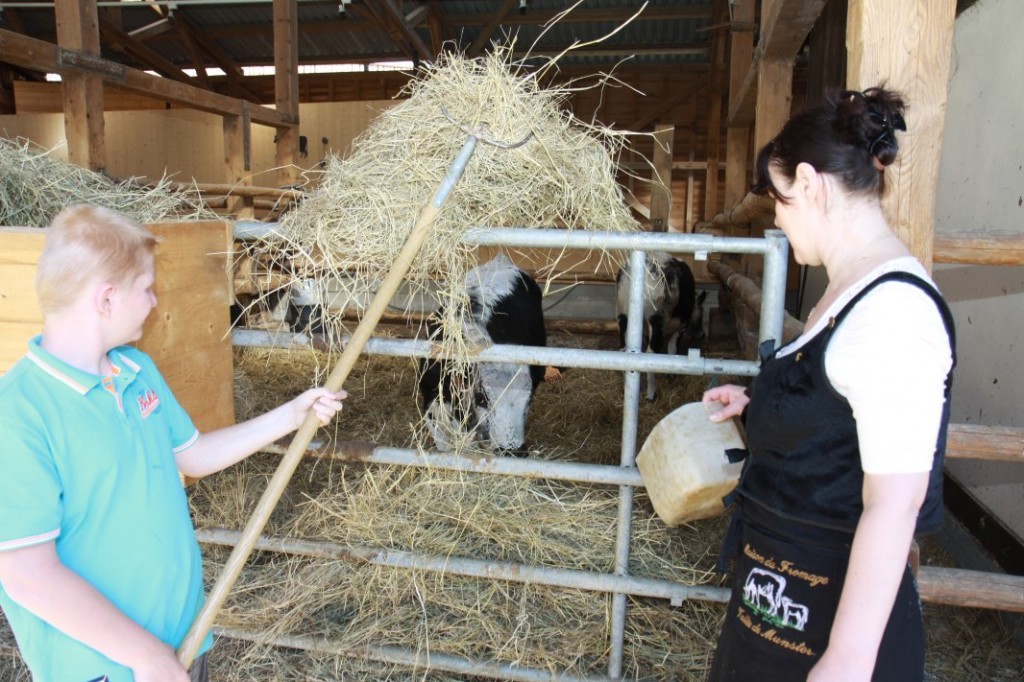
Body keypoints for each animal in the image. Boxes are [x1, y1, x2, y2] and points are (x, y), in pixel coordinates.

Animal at [614, 249, 704, 399]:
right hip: (657, 317)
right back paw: (651, 394)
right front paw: (671, 374)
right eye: (702, 312)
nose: (702, 334)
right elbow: (672, 348)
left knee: (623, 349)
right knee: (650, 353)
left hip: (623, 314)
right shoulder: (681, 327)